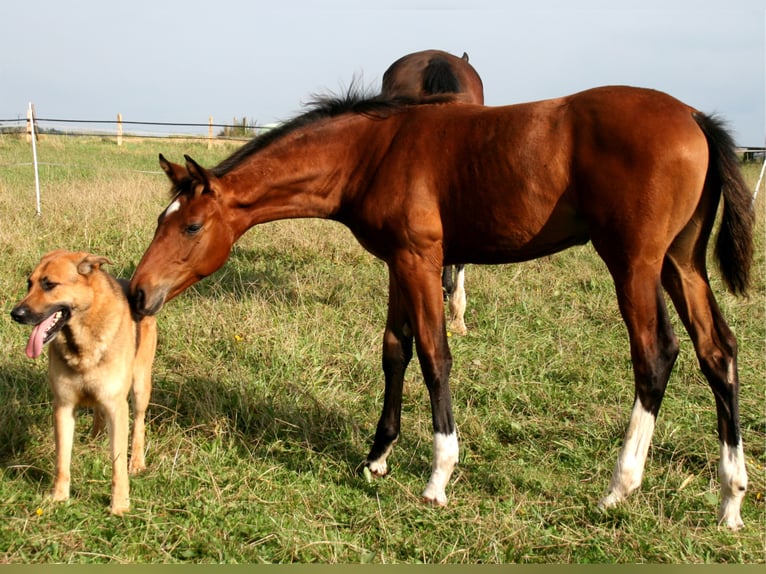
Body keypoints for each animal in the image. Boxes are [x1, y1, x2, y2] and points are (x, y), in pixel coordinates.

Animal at [11, 250, 158, 516]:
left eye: (49, 284)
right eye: (29, 283)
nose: (16, 314)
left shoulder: (117, 407)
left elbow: (118, 465)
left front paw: (120, 505)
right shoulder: (63, 407)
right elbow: (62, 460)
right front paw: (59, 498)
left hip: (141, 385)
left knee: (139, 423)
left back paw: (137, 461)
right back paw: (95, 437)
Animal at [132, 85, 756, 532]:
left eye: (191, 226)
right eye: (161, 219)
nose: (138, 292)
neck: (373, 153)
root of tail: (694, 116)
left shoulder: (421, 258)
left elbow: (435, 355)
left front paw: (438, 477)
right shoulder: (397, 262)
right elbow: (394, 350)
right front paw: (376, 457)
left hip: (634, 263)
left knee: (656, 356)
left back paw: (619, 488)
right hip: (681, 262)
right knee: (717, 352)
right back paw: (730, 501)